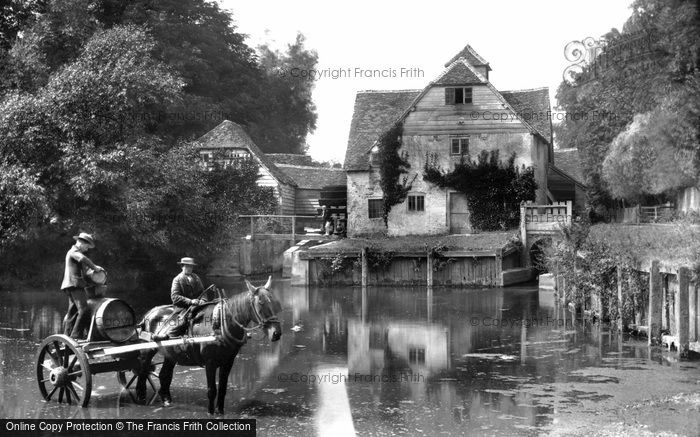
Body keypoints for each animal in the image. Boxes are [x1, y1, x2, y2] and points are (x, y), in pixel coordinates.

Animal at [136, 276, 282, 412]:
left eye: (274, 301)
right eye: (260, 302)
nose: (276, 333)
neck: (220, 323)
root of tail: (149, 314)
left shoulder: (228, 362)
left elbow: (222, 389)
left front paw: (220, 411)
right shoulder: (210, 363)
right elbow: (212, 390)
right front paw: (211, 412)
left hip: (170, 354)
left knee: (164, 375)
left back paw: (166, 399)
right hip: (147, 350)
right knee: (143, 370)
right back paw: (140, 396)